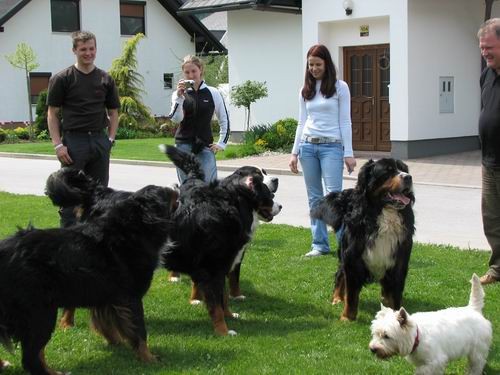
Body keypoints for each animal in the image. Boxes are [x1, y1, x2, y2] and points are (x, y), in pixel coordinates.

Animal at [0, 175, 178, 374]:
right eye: (166, 192)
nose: (176, 185)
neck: (134, 228)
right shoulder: (131, 296)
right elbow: (139, 331)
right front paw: (149, 358)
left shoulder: (107, 296)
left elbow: (108, 325)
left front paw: (117, 344)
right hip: (40, 311)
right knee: (31, 357)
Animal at [161, 145, 282, 336]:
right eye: (268, 196)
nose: (280, 206)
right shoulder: (212, 269)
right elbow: (216, 305)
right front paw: (224, 331)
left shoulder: (225, 265)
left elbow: (223, 296)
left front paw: (230, 315)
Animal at [312, 159, 414, 324]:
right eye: (388, 171)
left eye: (403, 169)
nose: (408, 177)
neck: (383, 216)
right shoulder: (352, 259)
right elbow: (351, 295)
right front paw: (347, 317)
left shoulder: (399, 261)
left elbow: (395, 295)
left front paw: (396, 318)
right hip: (343, 255)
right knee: (340, 275)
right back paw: (337, 298)